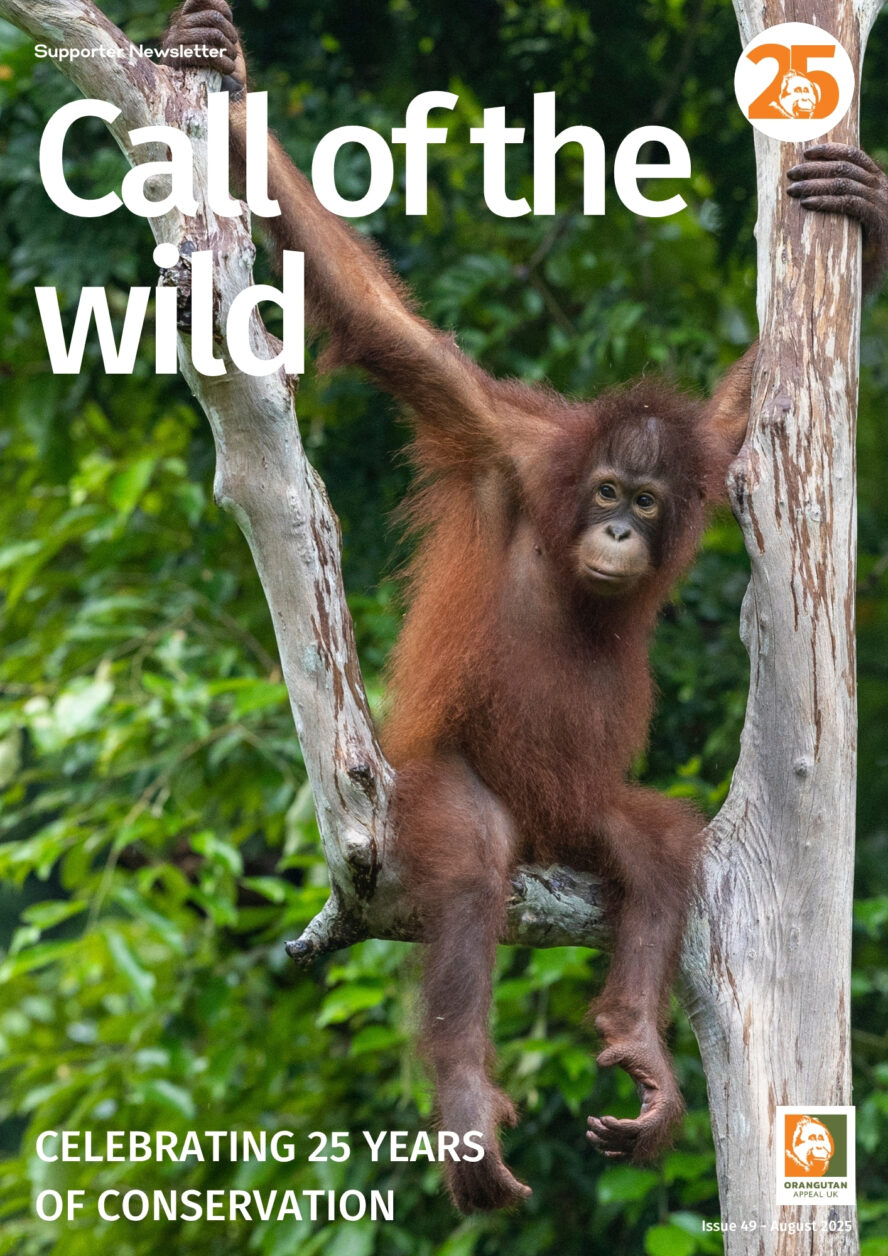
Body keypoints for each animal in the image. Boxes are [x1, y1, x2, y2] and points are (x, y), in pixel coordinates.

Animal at [161, 0, 888, 1213]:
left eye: (647, 502)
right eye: (605, 493)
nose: (621, 535)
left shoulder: (700, 462)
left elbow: (743, 418)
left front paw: (866, 218)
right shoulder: (503, 440)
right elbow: (386, 326)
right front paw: (232, 82)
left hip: (579, 810)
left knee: (656, 844)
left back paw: (638, 1041)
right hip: (432, 788)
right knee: (469, 862)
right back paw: (467, 1099)